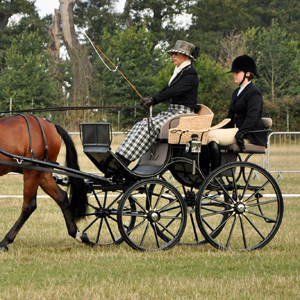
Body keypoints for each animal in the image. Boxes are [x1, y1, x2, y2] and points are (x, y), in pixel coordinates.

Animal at [0, 113, 89, 252]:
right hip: (43, 174)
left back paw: (5, 242)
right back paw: (77, 233)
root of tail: (50, 125)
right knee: (61, 197)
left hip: (33, 172)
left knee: (29, 206)